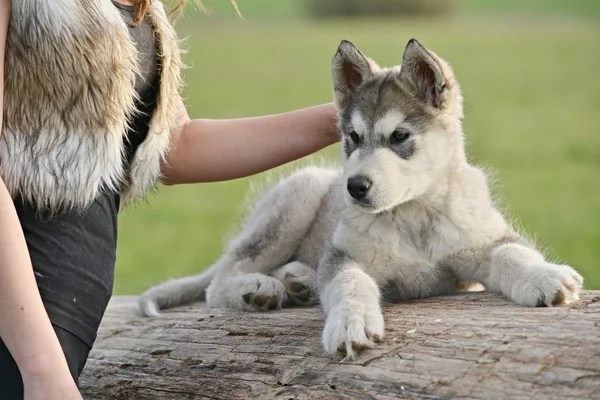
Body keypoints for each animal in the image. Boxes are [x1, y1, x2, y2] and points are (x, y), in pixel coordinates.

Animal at [139, 39, 580, 360]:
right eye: (351, 137)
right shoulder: (346, 256)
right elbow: (350, 283)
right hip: (293, 204)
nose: (354, 187)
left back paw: (299, 280)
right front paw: (350, 323)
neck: (412, 216)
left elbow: (512, 253)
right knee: (220, 281)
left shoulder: (479, 244)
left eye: (399, 136)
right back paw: (259, 287)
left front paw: (545, 277)